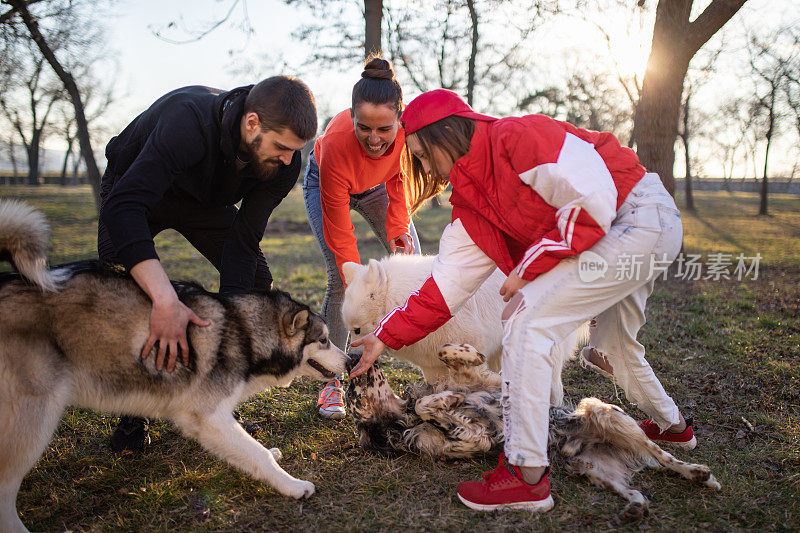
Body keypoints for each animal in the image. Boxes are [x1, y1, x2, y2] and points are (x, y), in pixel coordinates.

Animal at [0, 200, 350, 532]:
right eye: (323, 340)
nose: (349, 361)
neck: (244, 330)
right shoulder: (206, 416)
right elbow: (256, 453)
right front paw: (293, 485)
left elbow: (248, 449)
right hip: (34, 417)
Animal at [340, 256, 580, 406]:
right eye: (350, 331)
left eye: (358, 330)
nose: (352, 359)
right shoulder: (431, 367)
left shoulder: (473, 345)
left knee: (553, 386)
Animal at [346, 342, 720, 520]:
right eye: (353, 394)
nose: (350, 356)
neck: (402, 416)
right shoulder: (470, 440)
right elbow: (435, 410)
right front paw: (447, 403)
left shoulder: (483, 381)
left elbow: (449, 356)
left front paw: (464, 362)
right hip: (593, 469)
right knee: (637, 490)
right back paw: (641, 507)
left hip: (602, 411)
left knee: (664, 455)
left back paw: (698, 473)